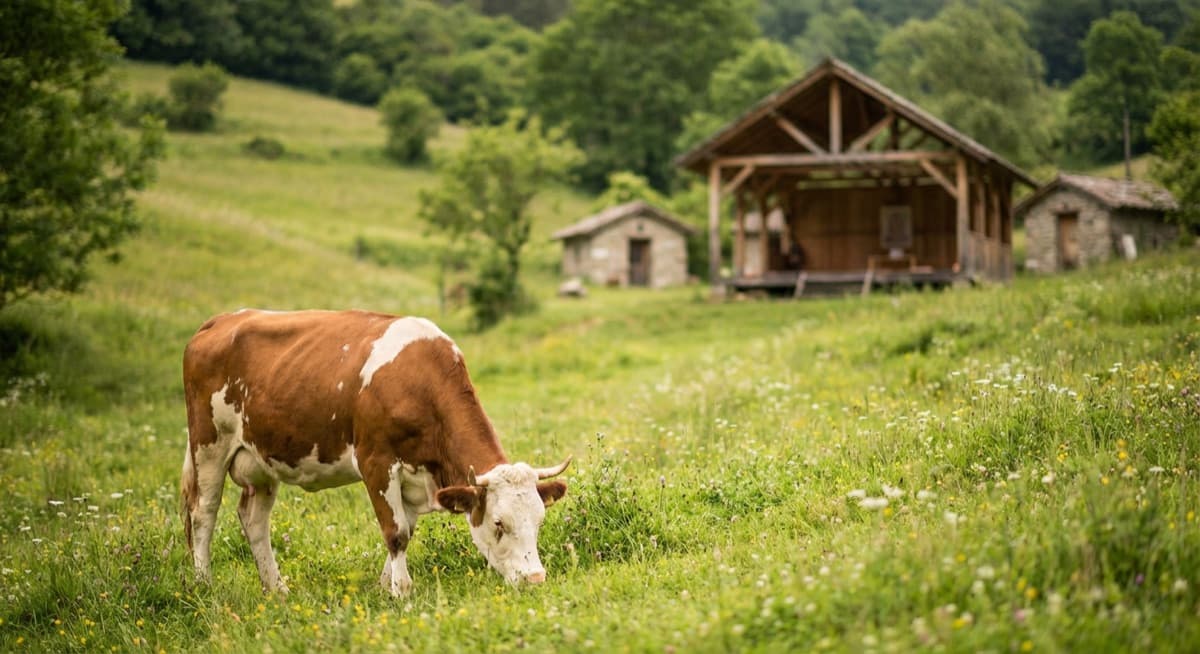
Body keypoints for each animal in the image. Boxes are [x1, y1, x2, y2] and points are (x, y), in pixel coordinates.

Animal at [180, 309, 570, 595]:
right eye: (499, 523)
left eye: (539, 520)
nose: (535, 578)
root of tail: (221, 320)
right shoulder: (376, 463)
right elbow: (395, 532)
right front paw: (402, 591)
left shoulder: (416, 477)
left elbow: (406, 530)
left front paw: (385, 587)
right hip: (209, 444)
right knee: (203, 512)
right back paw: (203, 584)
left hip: (260, 460)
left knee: (254, 520)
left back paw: (277, 590)